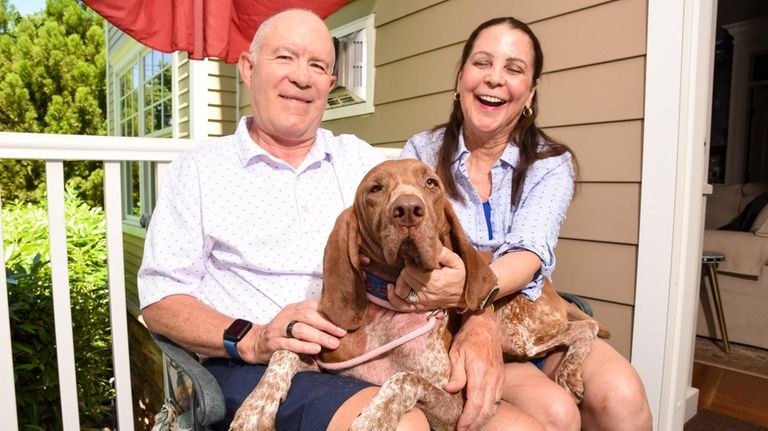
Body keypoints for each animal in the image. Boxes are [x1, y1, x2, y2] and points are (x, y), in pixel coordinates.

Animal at [228, 159, 608, 431]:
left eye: (431, 183)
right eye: (375, 188)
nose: (408, 209)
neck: (389, 310)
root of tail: (551, 288)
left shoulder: (456, 408)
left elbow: (404, 379)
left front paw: (373, 418)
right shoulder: (328, 364)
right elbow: (283, 354)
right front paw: (253, 410)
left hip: (516, 333)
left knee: (585, 327)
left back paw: (570, 372)